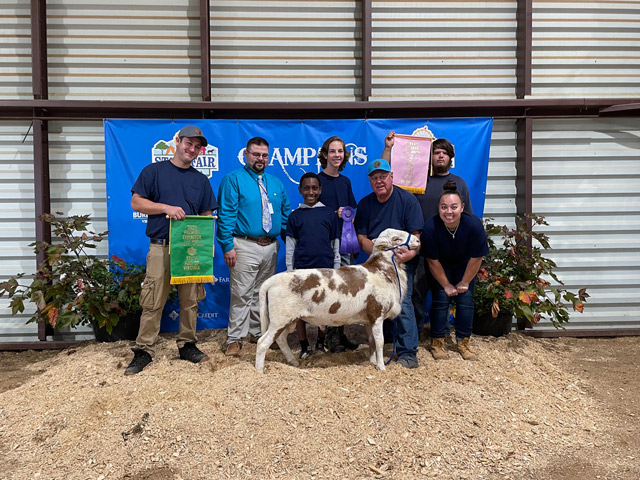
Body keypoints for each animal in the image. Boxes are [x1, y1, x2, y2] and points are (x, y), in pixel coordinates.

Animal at [255, 227, 420, 374]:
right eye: (396, 239)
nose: (418, 240)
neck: (382, 271)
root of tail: (271, 280)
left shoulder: (367, 320)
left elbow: (372, 341)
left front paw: (373, 362)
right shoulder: (376, 314)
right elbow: (380, 342)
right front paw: (381, 367)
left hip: (288, 319)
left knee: (281, 339)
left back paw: (293, 362)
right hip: (280, 318)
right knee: (263, 342)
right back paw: (259, 371)